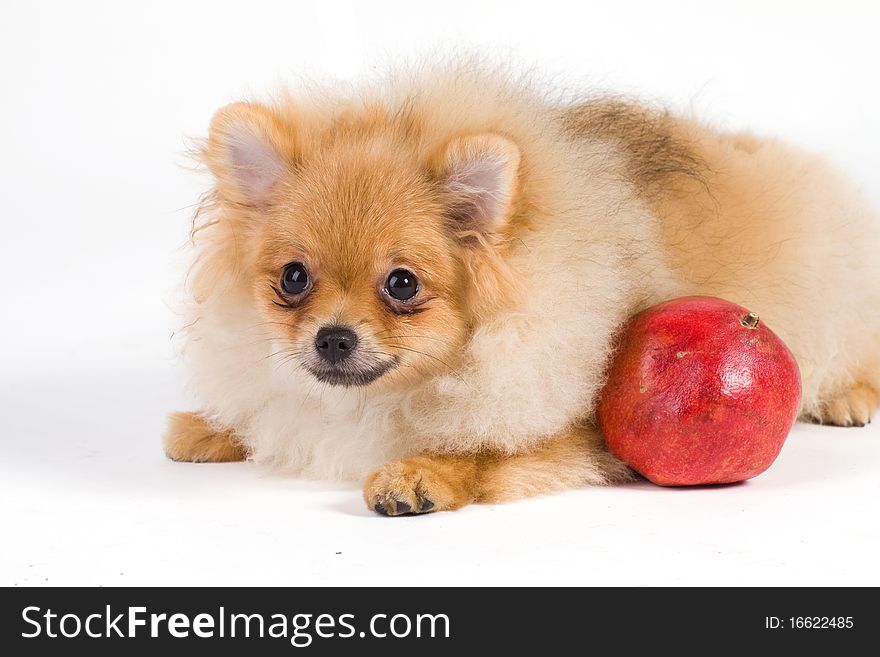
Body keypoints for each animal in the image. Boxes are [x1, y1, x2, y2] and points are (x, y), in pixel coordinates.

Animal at [165, 62, 880, 512]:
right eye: (294, 277)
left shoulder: (582, 423)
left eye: (401, 284)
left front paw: (420, 471)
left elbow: (488, 448)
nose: (332, 338)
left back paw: (851, 396)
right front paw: (212, 428)